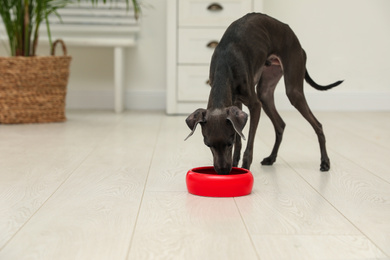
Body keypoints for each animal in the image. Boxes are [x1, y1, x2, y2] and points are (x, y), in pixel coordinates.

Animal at [185, 12, 342, 175]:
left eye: (229, 143)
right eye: (208, 144)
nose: (223, 172)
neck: (225, 63)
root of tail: (298, 44)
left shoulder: (255, 106)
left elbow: (248, 144)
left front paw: (245, 167)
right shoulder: (236, 104)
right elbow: (240, 140)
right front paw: (235, 163)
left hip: (293, 89)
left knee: (317, 125)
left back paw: (325, 162)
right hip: (266, 91)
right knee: (280, 124)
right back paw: (271, 158)